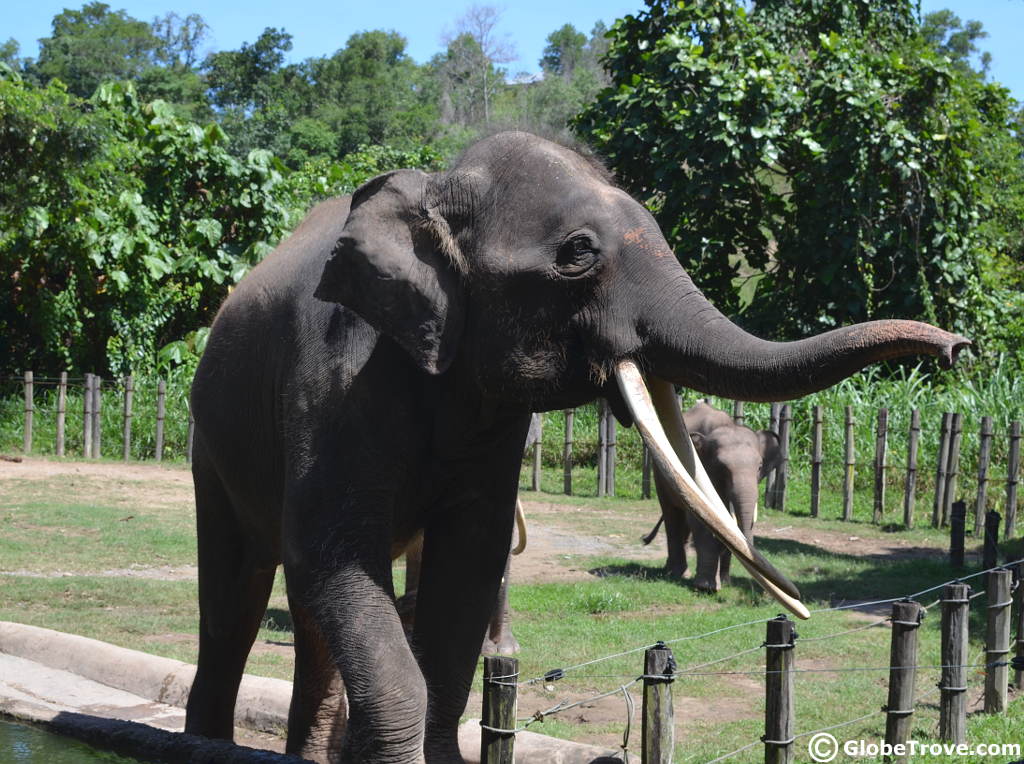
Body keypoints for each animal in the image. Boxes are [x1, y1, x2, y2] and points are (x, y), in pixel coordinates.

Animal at [643, 401, 778, 593]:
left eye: (759, 467)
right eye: (721, 468)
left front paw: (725, 583)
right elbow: (703, 521)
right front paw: (706, 587)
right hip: (660, 471)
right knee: (672, 515)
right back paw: (677, 573)